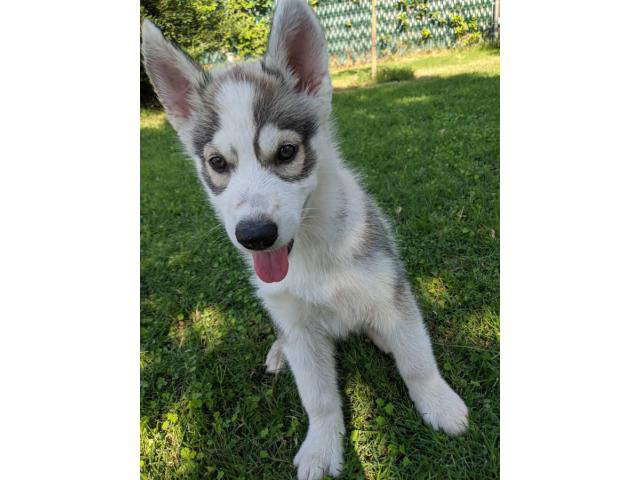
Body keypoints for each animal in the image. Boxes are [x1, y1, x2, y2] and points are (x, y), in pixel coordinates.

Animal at [142, 1, 468, 478]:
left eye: (286, 152)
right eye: (218, 163)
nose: (255, 235)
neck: (314, 252)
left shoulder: (390, 290)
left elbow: (416, 358)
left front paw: (439, 403)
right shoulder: (297, 325)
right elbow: (319, 398)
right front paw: (321, 447)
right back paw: (279, 354)